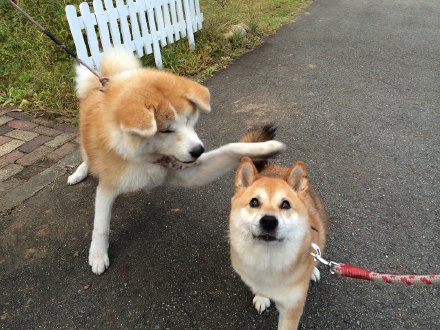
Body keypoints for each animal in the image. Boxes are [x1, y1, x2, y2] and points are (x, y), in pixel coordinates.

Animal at [66, 49, 284, 274]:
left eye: (188, 119)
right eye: (166, 130)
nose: (198, 151)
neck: (148, 156)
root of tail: (101, 82)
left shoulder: (186, 170)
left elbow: (231, 148)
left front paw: (265, 147)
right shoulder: (108, 187)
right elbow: (100, 226)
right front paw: (98, 255)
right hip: (87, 149)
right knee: (86, 158)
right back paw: (78, 173)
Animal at [229, 157, 328, 330]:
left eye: (285, 204)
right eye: (254, 202)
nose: (268, 221)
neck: (269, 257)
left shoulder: (292, 306)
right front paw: (262, 297)